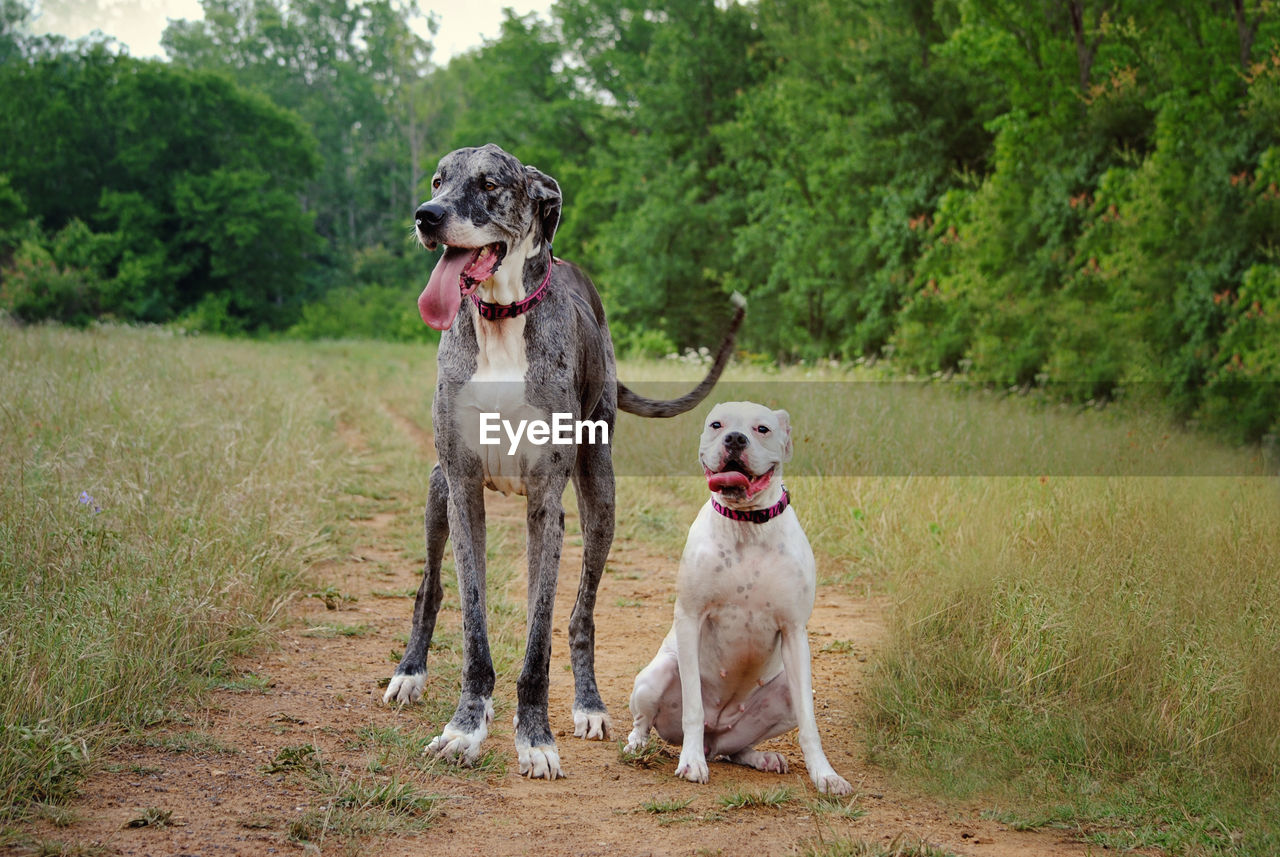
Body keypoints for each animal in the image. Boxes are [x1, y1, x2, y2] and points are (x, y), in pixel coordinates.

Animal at [378, 144, 747, 782]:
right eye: (438, 179)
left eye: (490, 183)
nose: (426, 215)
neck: (501, 320)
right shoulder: (463, 488)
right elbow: (473, 626)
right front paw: (465, 727)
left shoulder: (547, 501)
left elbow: (540, 636)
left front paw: (535, 738)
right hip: (436, 493)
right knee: (430, 587)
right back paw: (412, 673)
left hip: (600, 494)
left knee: (579, 615)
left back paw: (587, 704)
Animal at [627, 404, 849, 798]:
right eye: (716, 425)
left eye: (762, 429)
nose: (734, 438)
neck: (747, 523)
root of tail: (715, 737)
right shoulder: (690, 617)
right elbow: (694, 708)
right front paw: (691, 763)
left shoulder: (794, 631)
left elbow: (810, 724)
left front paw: (824, 774)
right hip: (657, 674)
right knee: (646, 720)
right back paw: (642, 745)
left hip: (780, 698)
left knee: (735, 749)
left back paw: (759, 757)